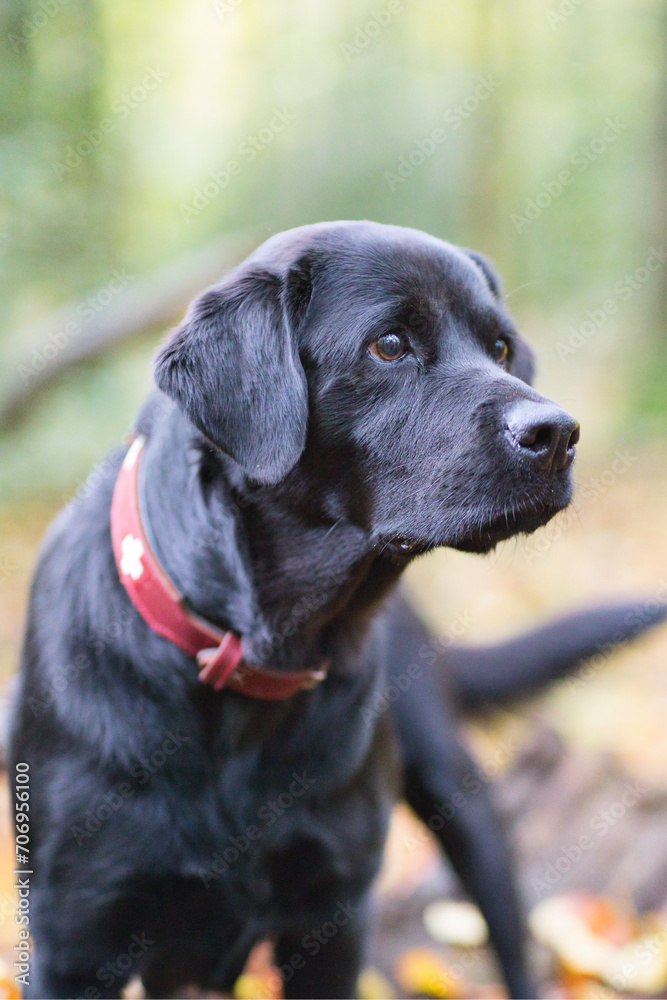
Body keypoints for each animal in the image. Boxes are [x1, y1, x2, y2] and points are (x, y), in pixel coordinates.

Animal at [10, 221, 664, 1000]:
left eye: (502, 348)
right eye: (390, 344)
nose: (558, 433)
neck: (251, 660)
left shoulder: (333, 916)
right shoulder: (75, 936)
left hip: (459, 800)